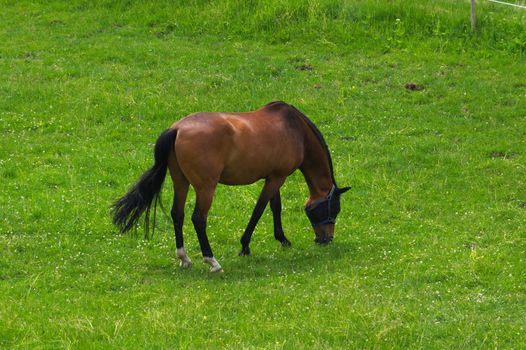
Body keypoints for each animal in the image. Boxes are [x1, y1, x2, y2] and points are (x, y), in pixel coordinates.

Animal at [111, 100, 350, 270]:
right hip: (206, 188)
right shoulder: (277, 178)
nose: (326, 239)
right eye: (334, 209)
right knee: (198, 218)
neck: (295, 129)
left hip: (181, 181)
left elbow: (275, 207)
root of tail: (177, 129)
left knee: (177, 213)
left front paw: (282, 239)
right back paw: (211, 261)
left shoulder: (273, 176)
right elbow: (259, 209)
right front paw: (245, 245)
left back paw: (184, 258)